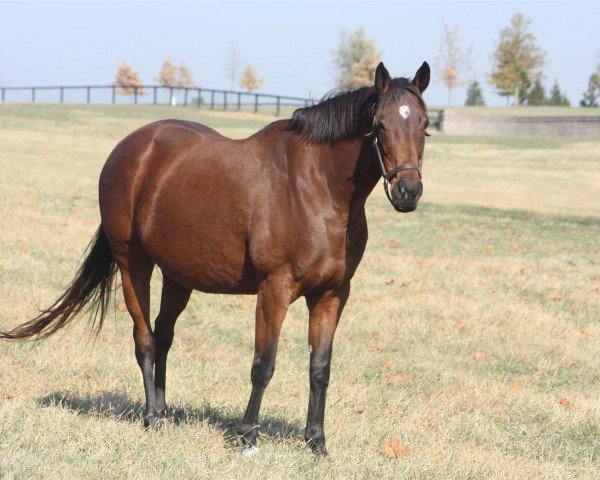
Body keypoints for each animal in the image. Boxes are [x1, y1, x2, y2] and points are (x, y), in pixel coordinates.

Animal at [1, 62, 432, 456]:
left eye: (425, 125)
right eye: (379, 126)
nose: (408, 192)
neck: (316, 188)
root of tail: (131, 147)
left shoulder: (332, 295)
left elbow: (320, 369)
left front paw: (317, 444)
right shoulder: (274, 289)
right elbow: (264, 364)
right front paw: (247, 437)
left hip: (178, 276)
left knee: (163, 336)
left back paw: (163, 410)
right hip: (133, 264)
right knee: (144, 339)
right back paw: (151, 417)